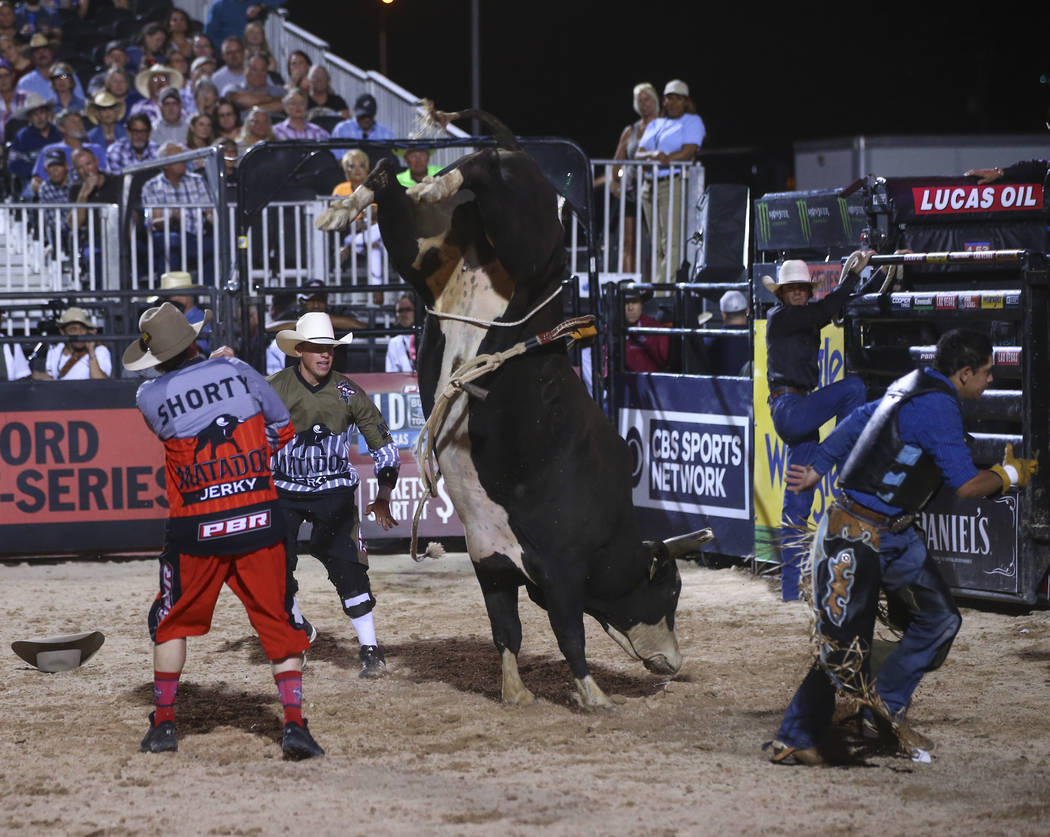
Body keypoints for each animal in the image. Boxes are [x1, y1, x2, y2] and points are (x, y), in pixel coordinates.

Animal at [317, 108, 707, 708]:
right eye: (669, 591)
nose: (674, 662)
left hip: (422, 249)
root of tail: (518, 150)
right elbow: (569, 634)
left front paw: (514, 692)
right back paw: (442, 178)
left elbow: (508, 630)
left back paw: (368, 200)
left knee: (395, 185)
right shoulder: (561, 573)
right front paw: (594, 696)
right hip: (527, 231)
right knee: (483, 172)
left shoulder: (493, 566)